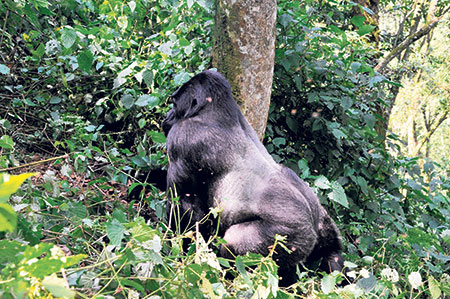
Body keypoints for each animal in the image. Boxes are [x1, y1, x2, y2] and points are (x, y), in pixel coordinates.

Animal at [163, 69, 346, 286]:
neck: (215, 109)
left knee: (234, 243)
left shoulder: (182, 137)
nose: (167, 116)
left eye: (174, 104)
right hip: (321, 223)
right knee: (333, 255)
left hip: (287, 237)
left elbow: (184, 206)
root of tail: (311, 224)